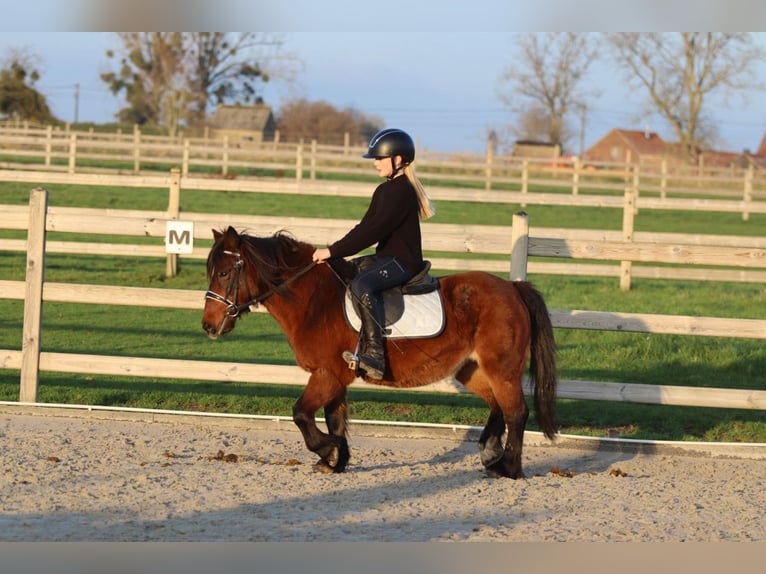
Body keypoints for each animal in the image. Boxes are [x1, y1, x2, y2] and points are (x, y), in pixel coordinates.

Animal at [202, 226, 558, 478]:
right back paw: (490, 453)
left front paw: (328, 451)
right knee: (499, 406)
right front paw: (335, 461)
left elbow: (301, 414)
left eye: (224, 273)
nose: (208, 325)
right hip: (472, 370)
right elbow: (334, 418)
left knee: (516, 412)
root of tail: (512, 288)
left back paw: (509, 468)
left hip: (502, 368)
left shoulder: (327, 374)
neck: (316, 302)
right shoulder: (335, 377)